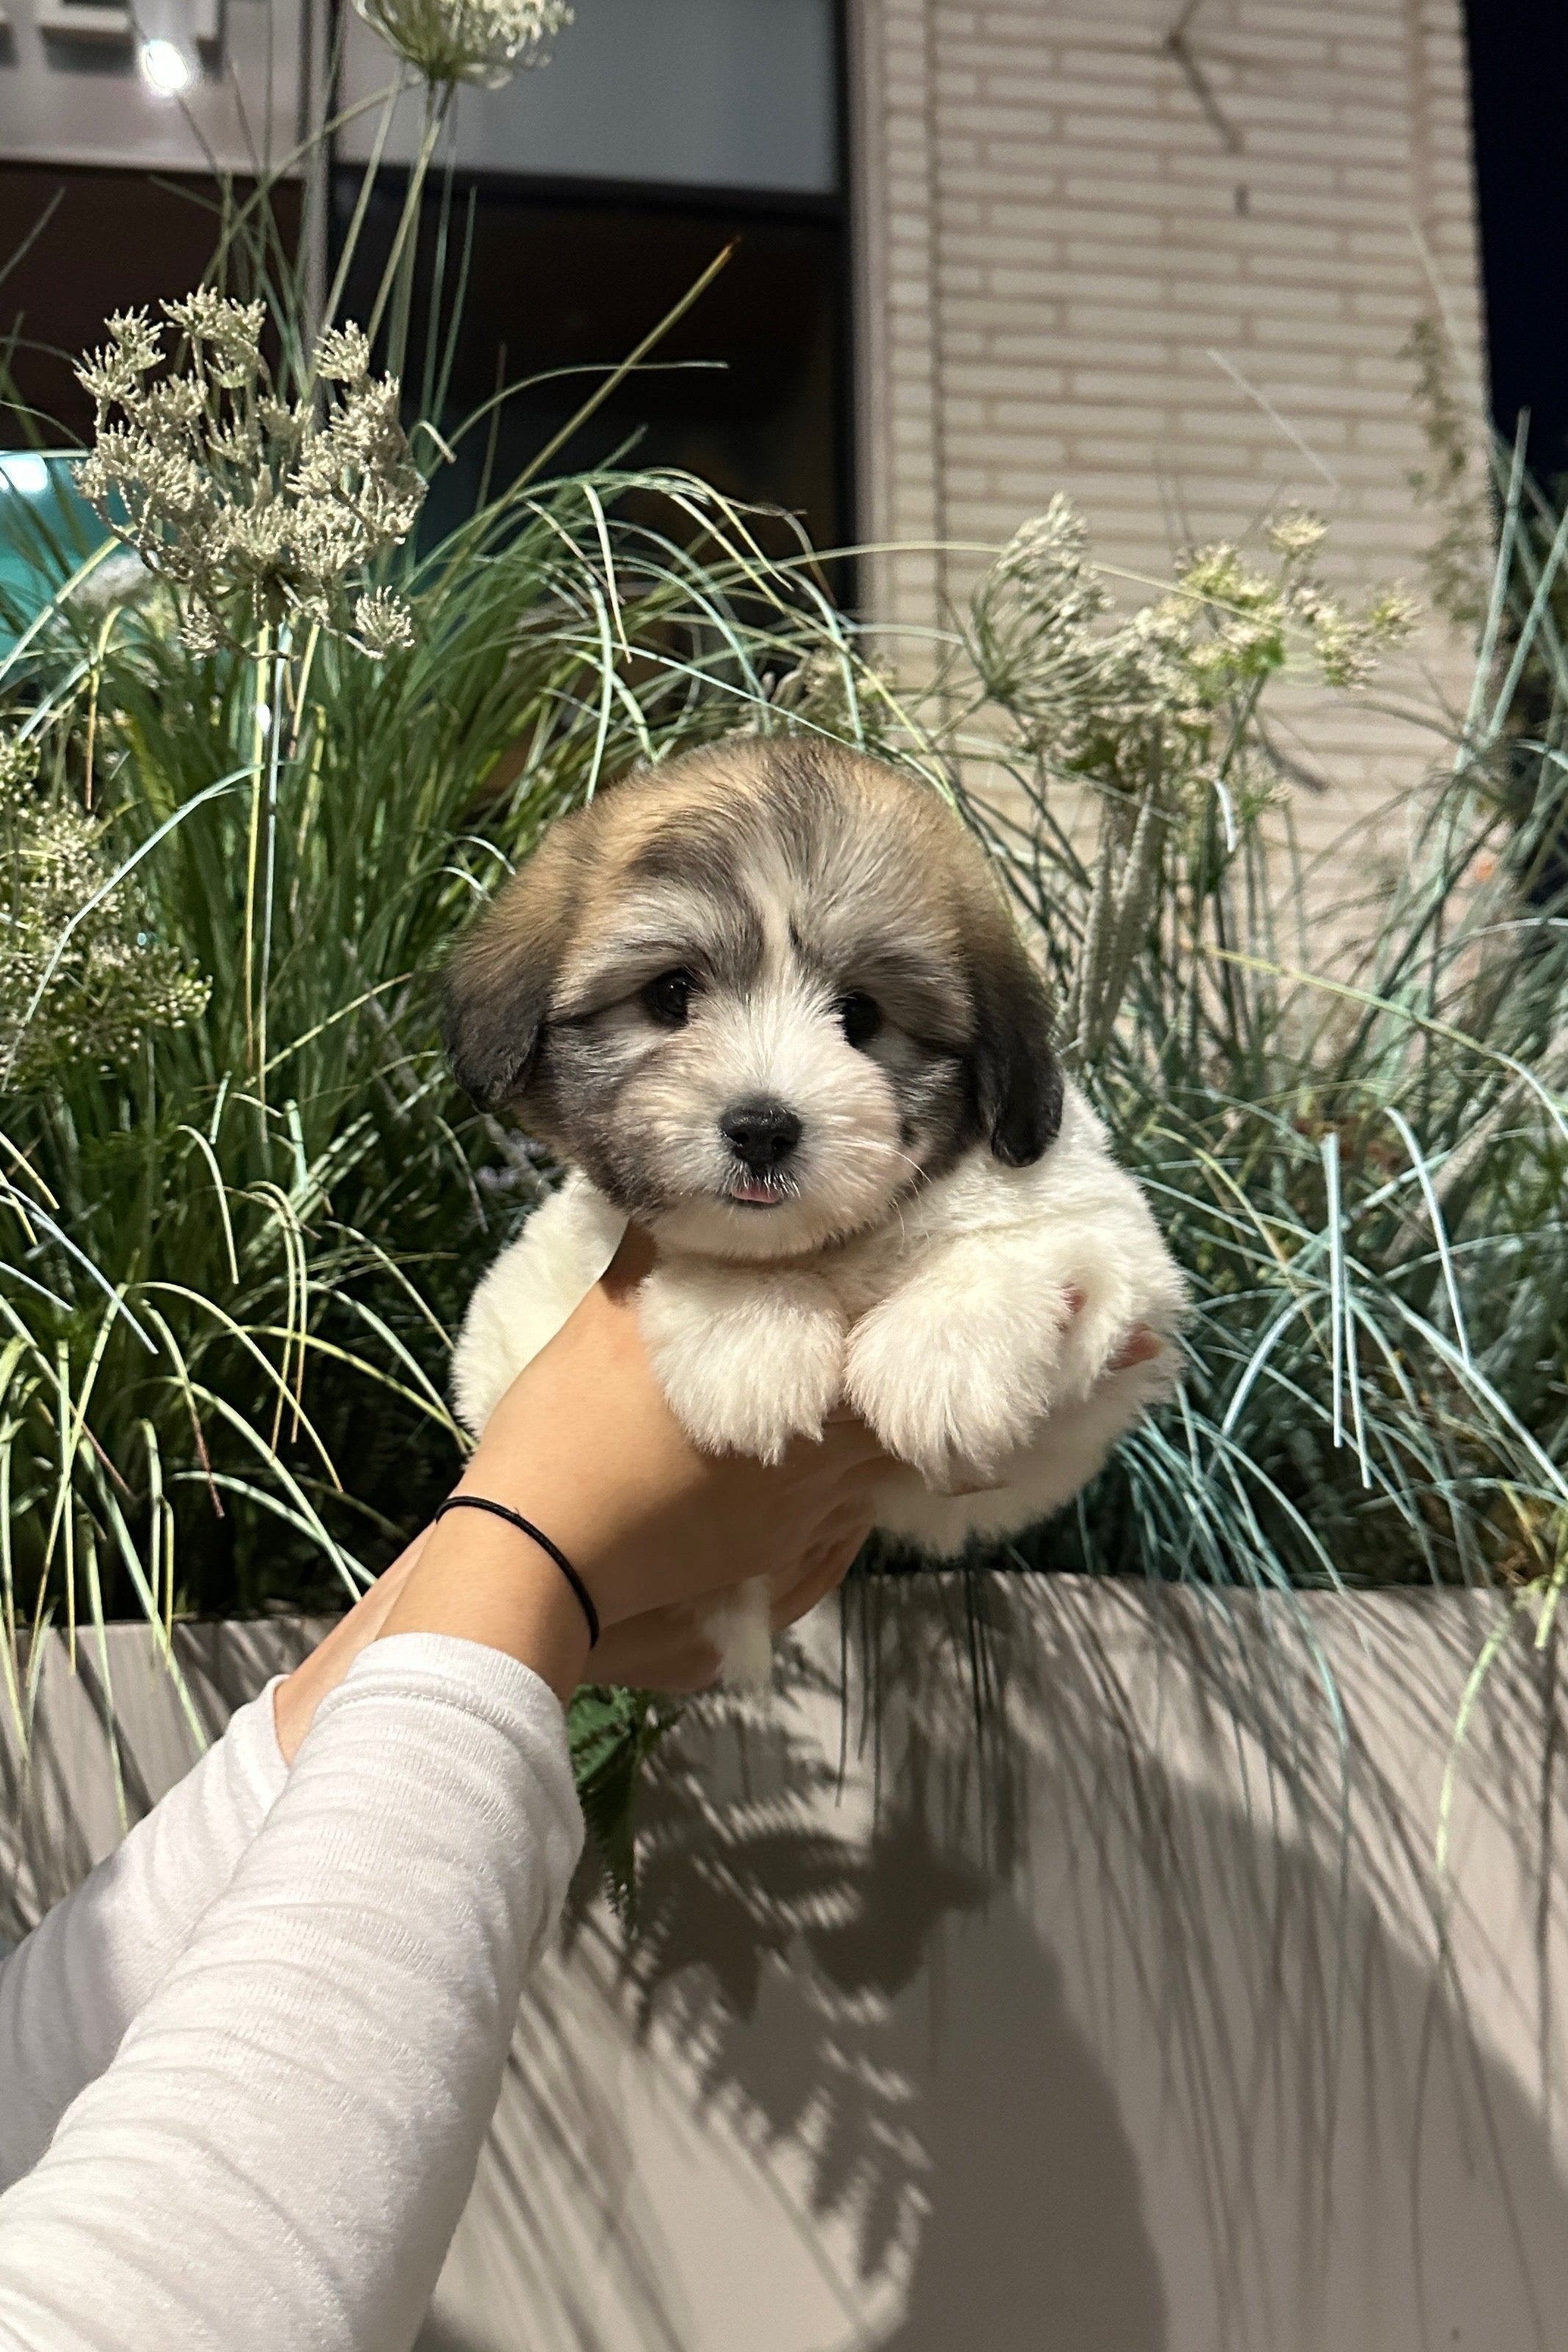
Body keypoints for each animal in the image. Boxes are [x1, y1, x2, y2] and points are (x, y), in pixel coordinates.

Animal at [446, 733, 1184, 1675]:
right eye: (671, 995)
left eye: (860, 1015)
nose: (761, 1128)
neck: (831, 1247)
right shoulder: (518, 1316)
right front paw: (748, 1334)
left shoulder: (1107, 1295)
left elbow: (1038, 1239)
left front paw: (946, 1352)